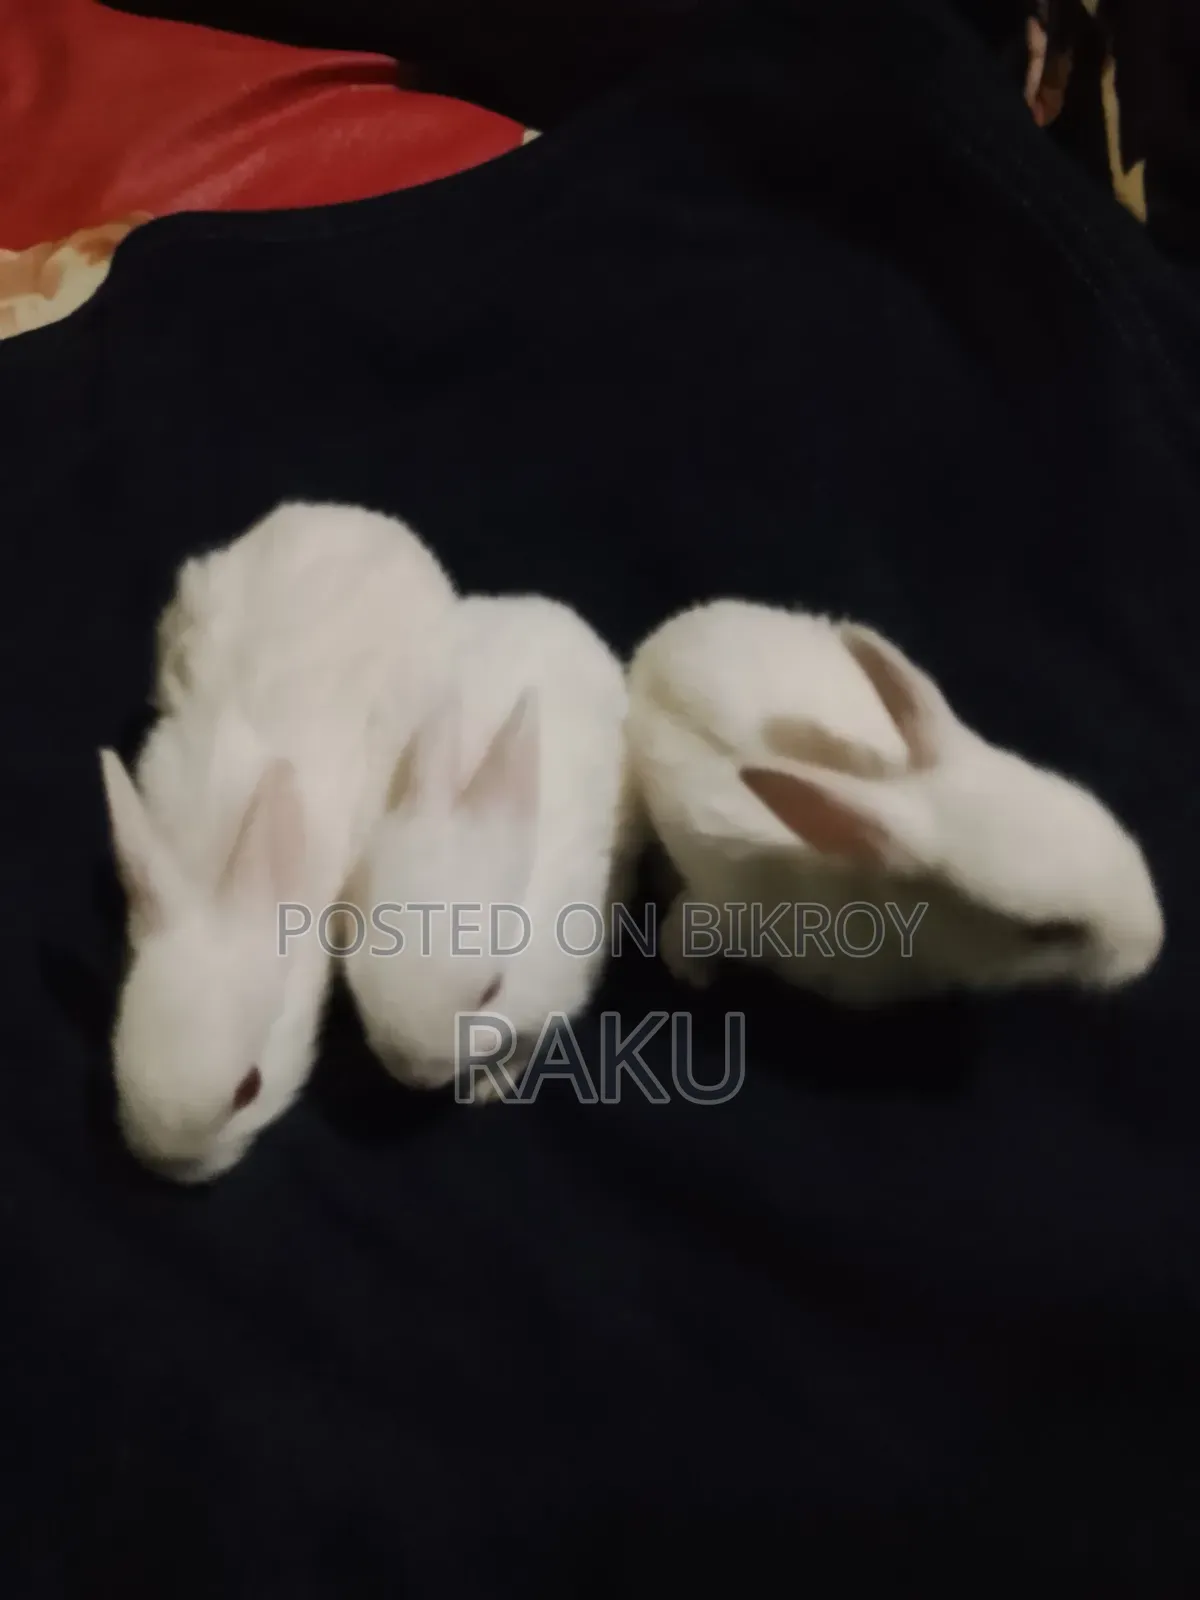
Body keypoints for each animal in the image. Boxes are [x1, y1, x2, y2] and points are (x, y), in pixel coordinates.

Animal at [341, 593, 643, 1101]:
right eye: (359, 963)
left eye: (491, 991)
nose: (414, 1075)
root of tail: (538, 604)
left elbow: (528, 1042)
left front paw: (490, 1088)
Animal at [625, 598, 1165, 1004]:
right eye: (1046, 933)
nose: (1152, 946)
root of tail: (669, 634)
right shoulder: (729, 910)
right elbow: (684, 928)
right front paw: (692, 976)